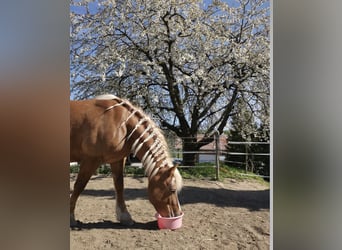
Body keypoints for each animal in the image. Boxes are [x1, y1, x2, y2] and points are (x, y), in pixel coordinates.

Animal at [69, 94, 182, 227]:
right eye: (172, 190)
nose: (177, 214)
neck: (122, 123)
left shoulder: (117, 160)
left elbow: (119, 186)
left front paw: (125, 217)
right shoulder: (90, 160)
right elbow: (79, 186)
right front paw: (71, 218)